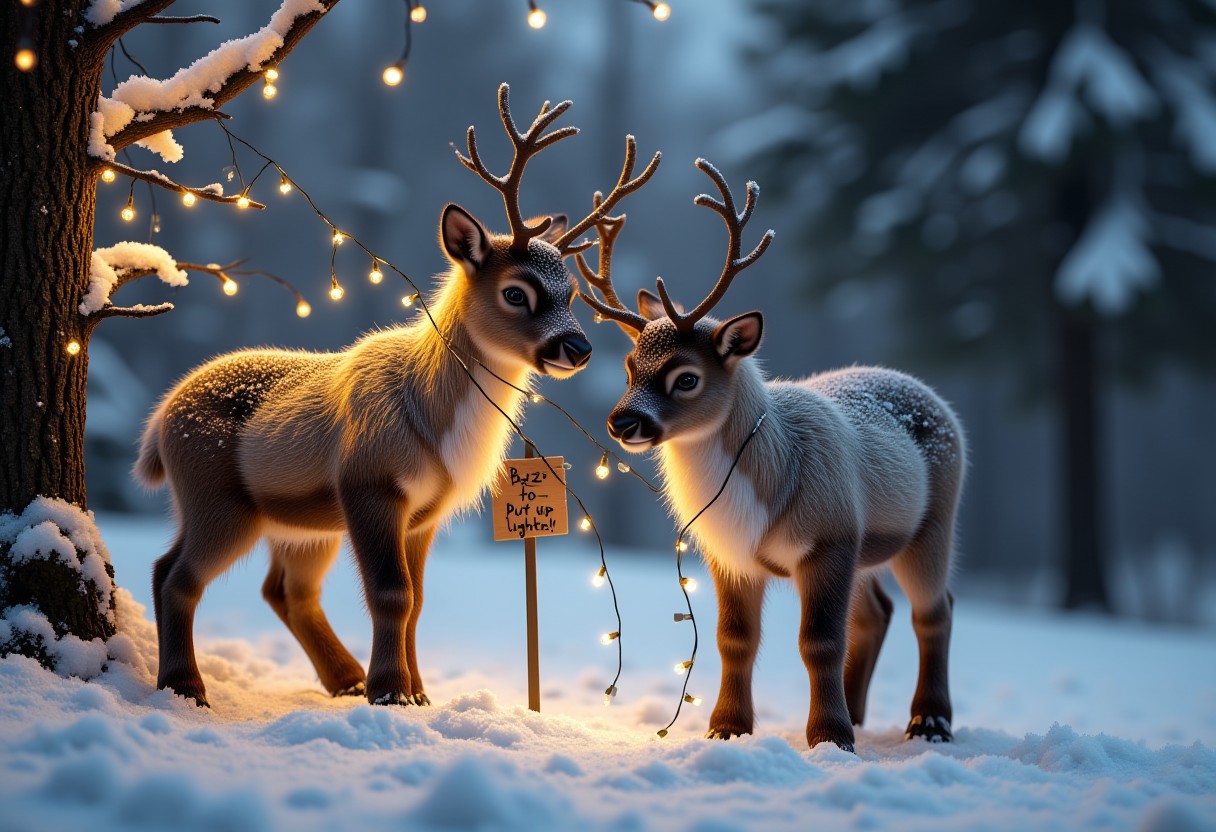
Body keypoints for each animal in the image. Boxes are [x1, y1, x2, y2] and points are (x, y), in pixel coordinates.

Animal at [133, 84, 660, 709]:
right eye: (515, 292)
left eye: (572, 292)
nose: (577, 349)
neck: (432, 416)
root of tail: (159, 421)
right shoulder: (370, 484)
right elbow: (392, 595)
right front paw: (390, 692)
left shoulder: (424, 512)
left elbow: (417, 602)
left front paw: (418, 694)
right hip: (217, 499)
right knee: (173, 575)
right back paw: (185, 685)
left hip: (301, 524)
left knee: (282, 590)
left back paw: (344, 680)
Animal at [577, 159, 966, 752]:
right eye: (629, 368)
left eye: (686, 377)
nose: (622, 422)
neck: (767, 483)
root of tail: (932, 397)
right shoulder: (731, 556)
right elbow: (734, 639)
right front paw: (727, 727)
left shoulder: (828, 538)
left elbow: (818, 642)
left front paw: (830, 739)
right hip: (868, 547)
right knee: (878, 613)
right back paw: (860, 712)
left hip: (932, 524)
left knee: (934, 610)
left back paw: (930, 723)